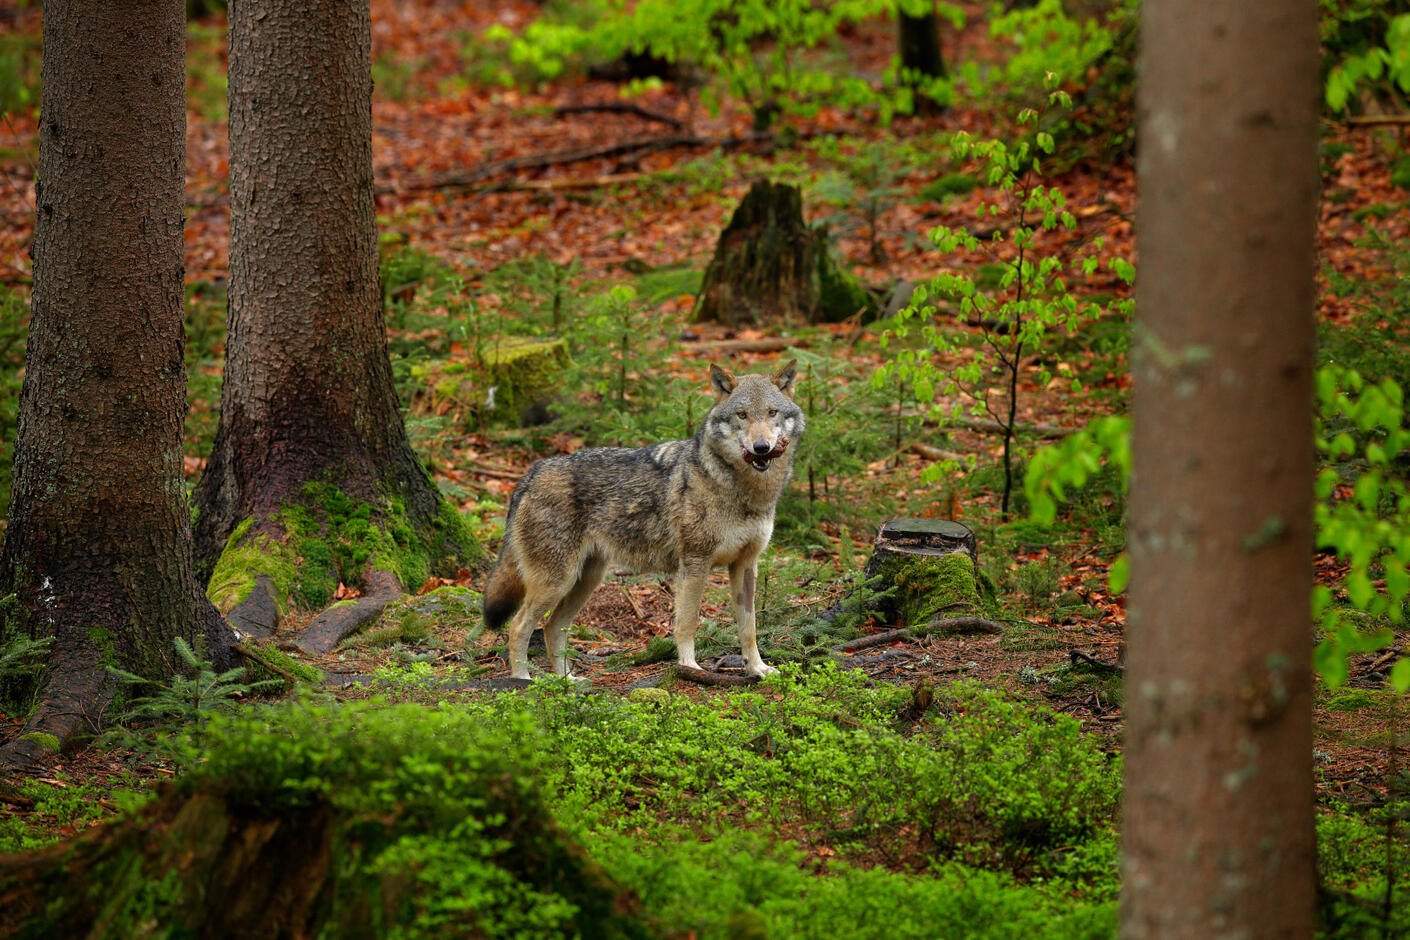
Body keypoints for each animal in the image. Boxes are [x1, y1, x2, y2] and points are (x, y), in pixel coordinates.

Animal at [482, 359, 804, 679]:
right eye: (742, 414)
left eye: (771, 412)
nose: (761, 447)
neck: (746, 491)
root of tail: (530, 474)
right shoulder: (694, 564)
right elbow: (687, 622)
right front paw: (689, 667)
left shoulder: (745, 564)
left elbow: (749, 628)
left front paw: (758, 668)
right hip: (556, 582)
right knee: (518, 626)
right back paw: (523, 680)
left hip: (584, 581)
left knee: (552, 627)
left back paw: (567, 682)